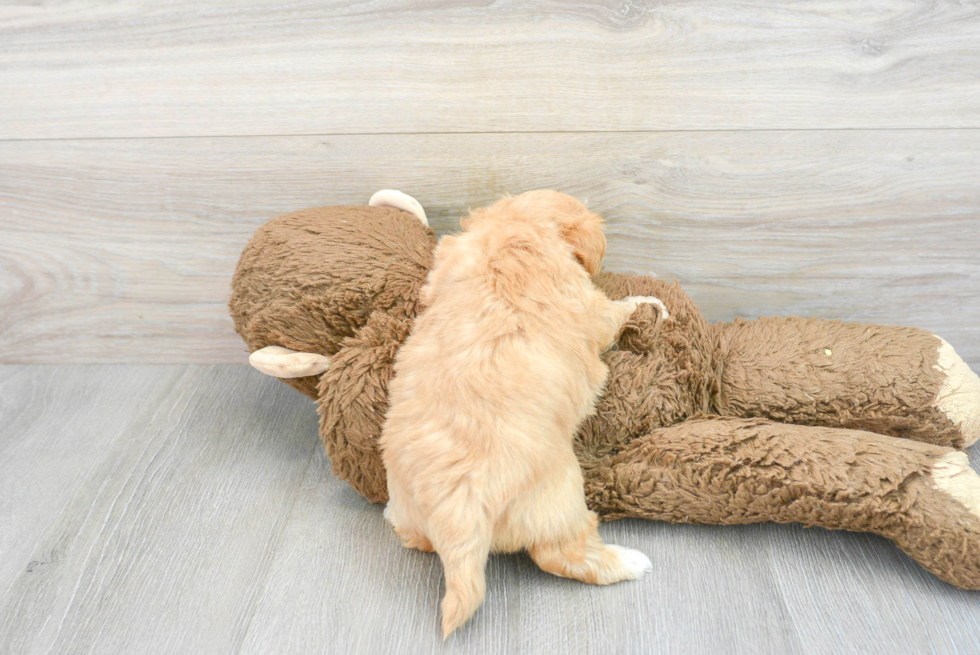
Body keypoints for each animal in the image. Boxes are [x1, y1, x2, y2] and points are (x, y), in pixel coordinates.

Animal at [380, 191, 660, 640]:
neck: (511, 231)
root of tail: (458, 510)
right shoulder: (589, 305)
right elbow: (613, 315)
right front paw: (645, 304)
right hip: (560, 497)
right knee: (561, 554)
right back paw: (629, 563)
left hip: (413, 509)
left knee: (416, 538)